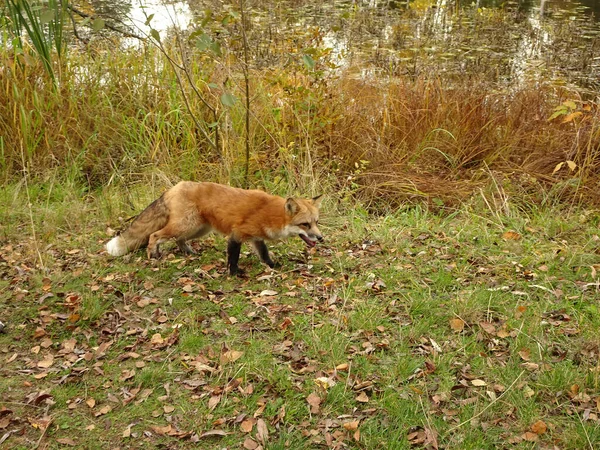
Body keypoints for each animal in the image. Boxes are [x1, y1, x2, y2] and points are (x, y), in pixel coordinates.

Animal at [105, 182, 322, 274]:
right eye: (305, 224)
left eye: (316, 222)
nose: (321, 238)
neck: (270, 214)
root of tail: (173, 187)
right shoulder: (237, 234)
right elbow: (233, 257)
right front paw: (234, 273)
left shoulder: (256, 238)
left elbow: (264, 254)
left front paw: (272, 266)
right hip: (185, 225)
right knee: (154, 235)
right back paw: (153, 255)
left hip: (198, 229)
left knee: (178, 240)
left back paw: (188, 252)